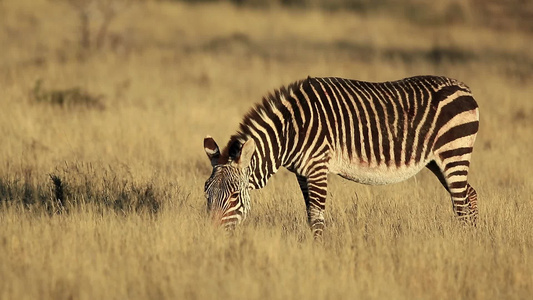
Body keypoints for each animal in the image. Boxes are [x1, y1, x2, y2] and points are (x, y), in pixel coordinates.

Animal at [204, 75, 478, 239]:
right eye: (207, 194)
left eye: (235, 196)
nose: (213, 238)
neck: (291, 131)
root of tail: (465, 88)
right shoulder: (303, 173)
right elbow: (309, 214)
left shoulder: (317, 167)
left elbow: (317, 217)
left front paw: (318, 255)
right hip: (437, 161)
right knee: (470, 195)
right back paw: (472, 240)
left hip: (454, 152)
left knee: (461, 203)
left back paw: (463, 244)